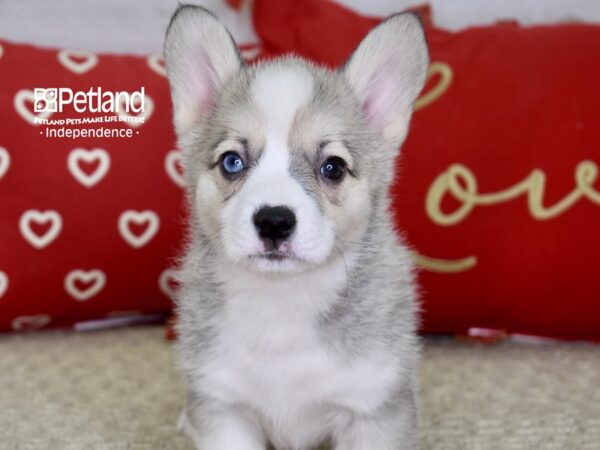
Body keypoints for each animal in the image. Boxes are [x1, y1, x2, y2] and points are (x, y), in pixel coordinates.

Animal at [164, 6, 426, 450]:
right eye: (232, 162)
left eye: (332, 167)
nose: (274, 220)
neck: (282, 303)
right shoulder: (225, 408)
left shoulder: (371, 409)